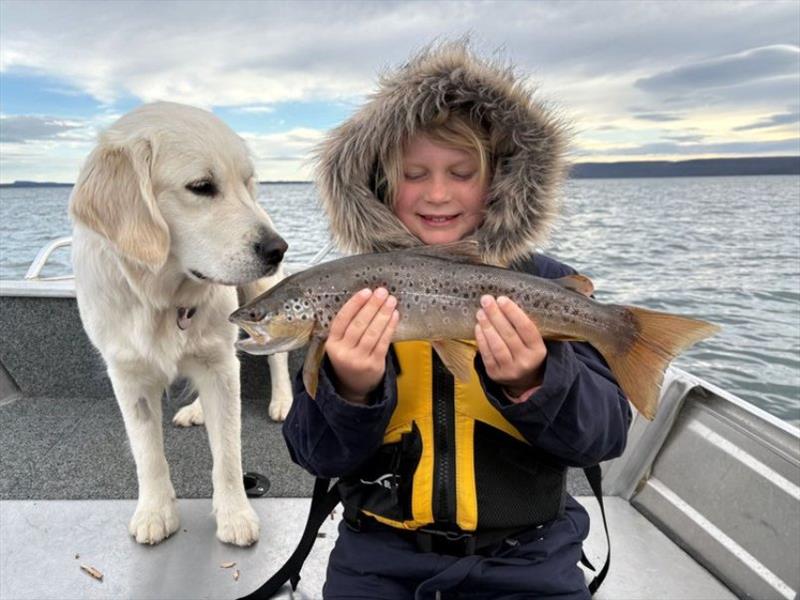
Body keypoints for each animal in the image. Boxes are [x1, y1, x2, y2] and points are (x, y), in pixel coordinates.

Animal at [71, 102, 294, 544]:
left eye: (246, 182)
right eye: (202, 186)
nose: (278, 248)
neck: (161, 299)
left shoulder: (220, 362)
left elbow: (228, 452)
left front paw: (235, 514)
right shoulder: (128, 375)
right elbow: (147, 454)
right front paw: (155, 511)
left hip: (259, 291)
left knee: (276, 354)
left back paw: (282, 400)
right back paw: (196, 409)